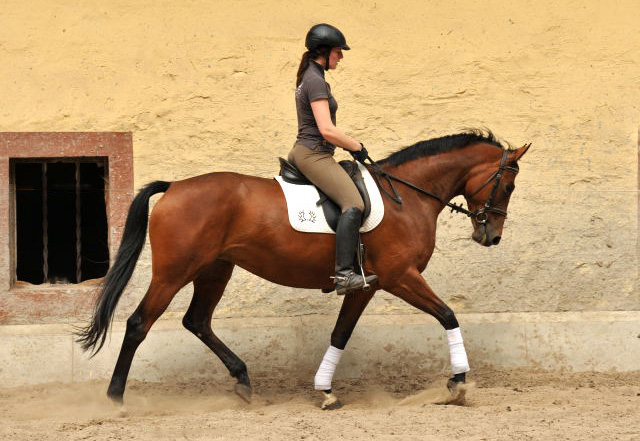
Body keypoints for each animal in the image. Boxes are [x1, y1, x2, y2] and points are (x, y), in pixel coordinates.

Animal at [75, 130, 528, 410]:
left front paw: (325, 391)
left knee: (197, 321)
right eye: (507, 186)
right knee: (139, 323)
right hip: (174, 272)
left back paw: (243, 381)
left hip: (215, 269)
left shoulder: (367, 285)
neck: (406, 196)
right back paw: (116, 399)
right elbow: (448, 315)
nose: (491, 236)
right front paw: (459, 383)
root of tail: (175, 186)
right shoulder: (401, 276)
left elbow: (340, 334)